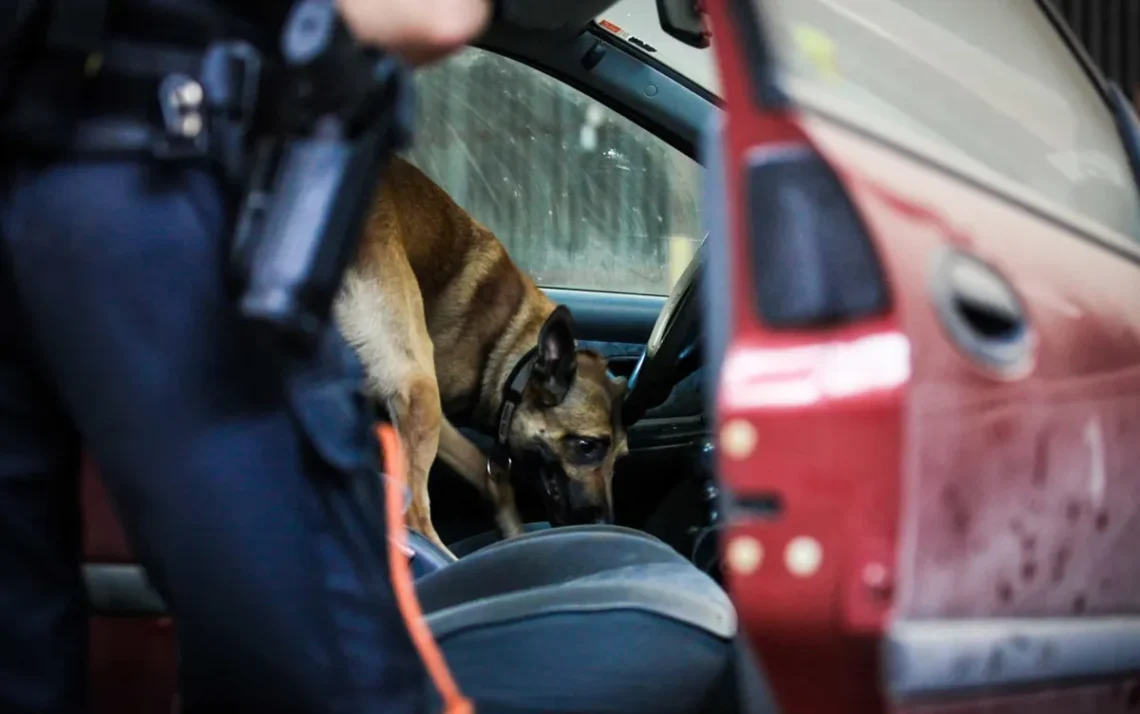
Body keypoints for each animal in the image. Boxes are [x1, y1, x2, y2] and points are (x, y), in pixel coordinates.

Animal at [332, 158, 629, 554]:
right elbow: (489, 471)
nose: (606, 525)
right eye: (587, 446)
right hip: (419, 387)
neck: (513, 351)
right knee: (413, 512)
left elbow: (490, 475)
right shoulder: (433, 411)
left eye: (620, 459)